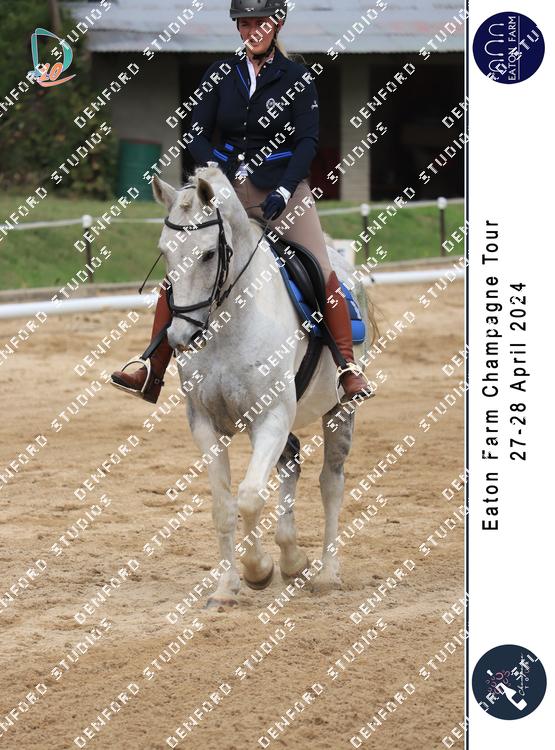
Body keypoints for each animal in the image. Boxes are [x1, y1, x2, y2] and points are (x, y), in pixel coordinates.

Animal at [151, 165, 377, 609]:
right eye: (165, 251)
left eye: (208, 254)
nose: (181, 337)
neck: (228, 324)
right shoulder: (204, 423)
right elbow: (224, 506)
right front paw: (226, 588)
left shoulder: (270, 416)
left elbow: (250, 496)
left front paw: (258, 571)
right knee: (292, 461)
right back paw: (292, 559)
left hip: (339, 409)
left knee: (330, 482)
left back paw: (325, 573)